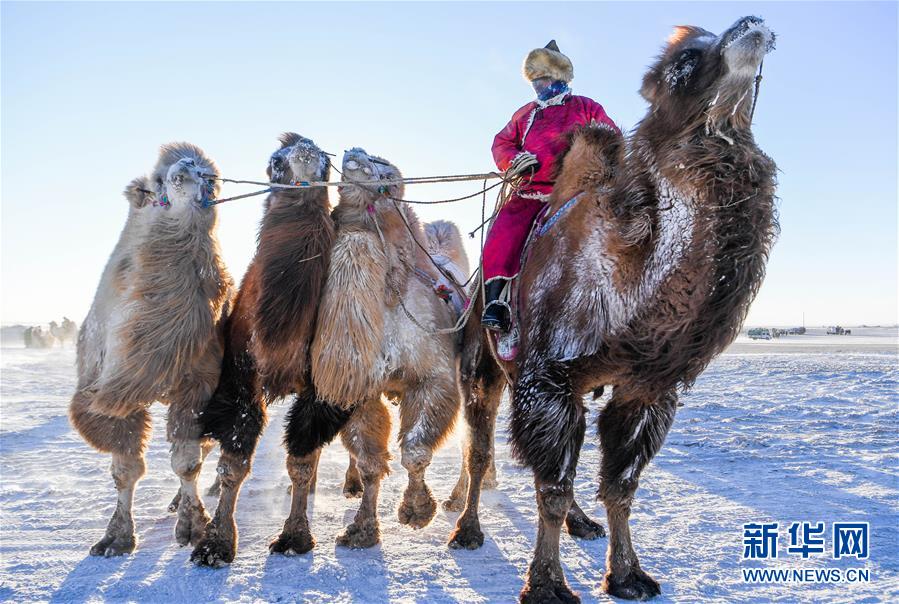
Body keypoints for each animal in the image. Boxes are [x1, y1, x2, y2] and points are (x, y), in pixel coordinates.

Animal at [69, 143, 234, 556]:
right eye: (157, 180)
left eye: (213, 179)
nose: (190, 166)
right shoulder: (110, 392)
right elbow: (125, 469)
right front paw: (114, 538)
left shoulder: (198, 387)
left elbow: (187, 462)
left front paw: (192, 526)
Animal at [188, 132, 336, 568]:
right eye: (275, 162)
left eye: (326, 164)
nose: (306, 153)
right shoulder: (241, 375)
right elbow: (234, 460)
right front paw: (215, 544)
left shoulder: (319, 385)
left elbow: (301, 459)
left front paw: (295, 536)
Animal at [268, 149, 472, 556]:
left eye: (383, 163)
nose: (355, 153)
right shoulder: (360, 391)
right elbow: (370, 461)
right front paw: (361, 529)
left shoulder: (434, 377)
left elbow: (414, 449)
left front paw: (416, 510)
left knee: (472, 445)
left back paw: (460, 502)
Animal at [460, 16, 776, 600]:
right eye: (685, 61)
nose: (751, 24)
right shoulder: (545, 377)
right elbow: (551, 488)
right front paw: (546, 585)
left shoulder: (646, 388)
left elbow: (621, 486)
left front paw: (628, 574)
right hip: (483, 361)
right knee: (480, 447)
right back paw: (465, 530)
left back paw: (583, 524)